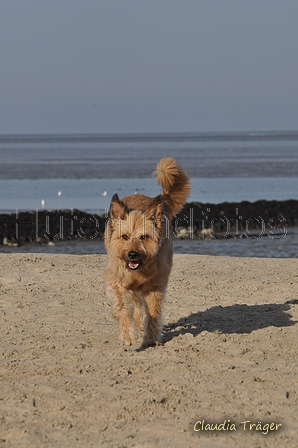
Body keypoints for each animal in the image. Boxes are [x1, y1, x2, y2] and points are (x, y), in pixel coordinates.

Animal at [103, 159, 190, 348]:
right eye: (125, 236)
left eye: (144, 237)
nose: (133, 254)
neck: (138, 271)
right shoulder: (116, 281)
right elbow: (121, 305)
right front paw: (127, 334)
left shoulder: (155, 286)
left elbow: (153, 312)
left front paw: (150, 338)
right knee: (134, 304)